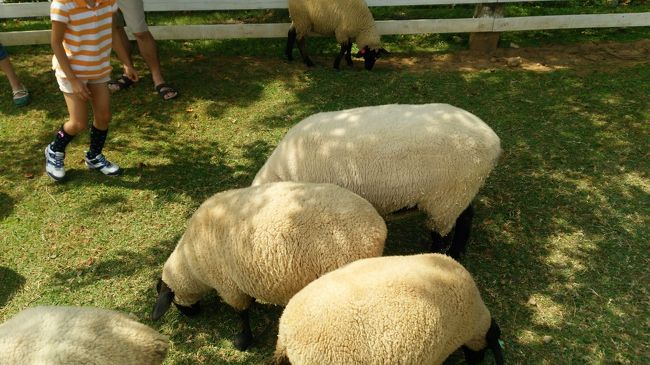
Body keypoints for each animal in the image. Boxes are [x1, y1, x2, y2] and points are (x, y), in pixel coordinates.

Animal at [152, 181, 384, 350]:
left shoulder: (227, 285)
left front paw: (243, 341)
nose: (191, 315)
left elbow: (241, 313)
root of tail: (377, 228)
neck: (191, 260)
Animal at [249, 102, 502, 258]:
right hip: (463, 189)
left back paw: (439, 253)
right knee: (466, 216)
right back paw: (458, 252)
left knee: (443, 232)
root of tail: (493, 140)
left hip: (447, 198)